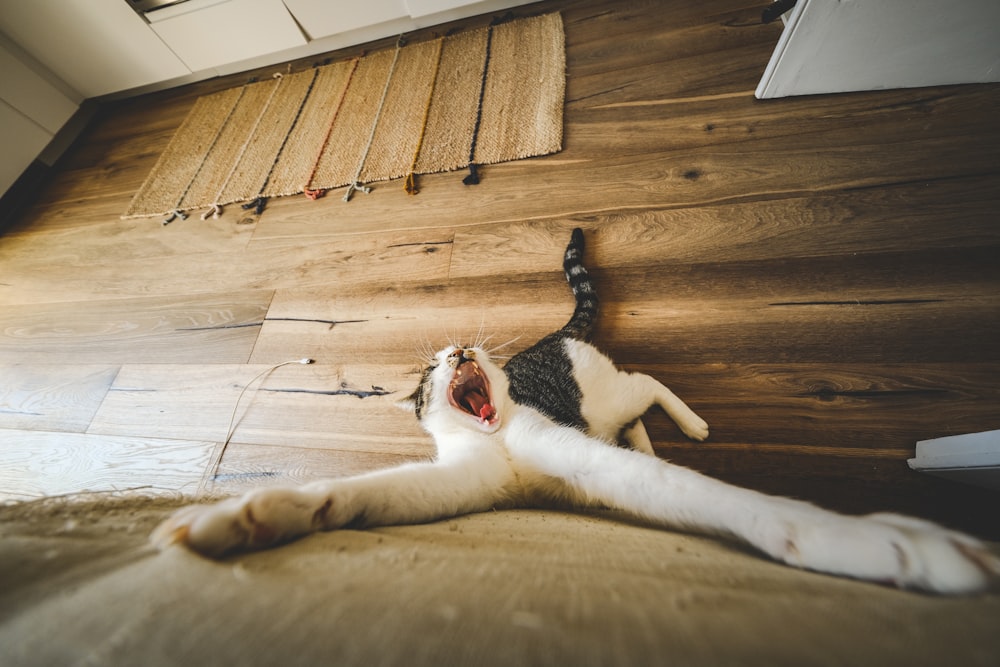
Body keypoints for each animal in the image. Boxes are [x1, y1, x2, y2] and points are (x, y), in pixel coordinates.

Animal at [150, 230, 1000, 596]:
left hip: (606, 389)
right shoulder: (456, 482)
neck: (501, 436)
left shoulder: (570, 449)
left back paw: (689, 426)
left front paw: (868, 540)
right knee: (632, 417)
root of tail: (555, 334)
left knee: (647, 382)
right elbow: (365, 493)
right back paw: (657, 441)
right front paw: (256, 515)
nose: (458, 348)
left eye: (457, 355)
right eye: (429, 373)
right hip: (602, 408)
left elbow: (718, 499)